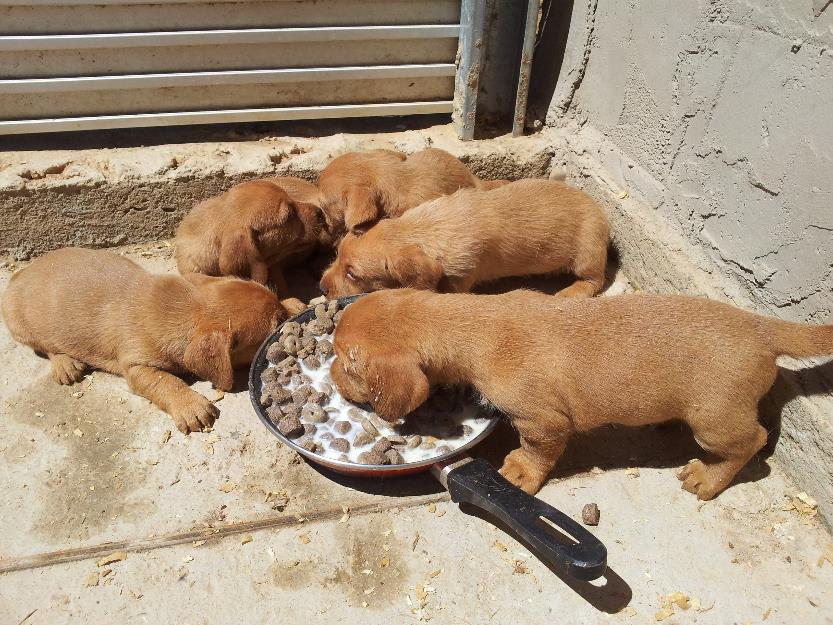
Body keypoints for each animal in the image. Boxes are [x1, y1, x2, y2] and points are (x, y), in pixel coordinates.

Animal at [3, 246, 288, 432]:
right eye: (274, 326)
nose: (286, 316)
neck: (184, 308)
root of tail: (19, 274)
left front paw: (292, 303)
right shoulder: (136, 366)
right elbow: (166, 382)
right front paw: (191, 406)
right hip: (19, 325)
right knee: (45, 347)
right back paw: (65, 364)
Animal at [318, 179, 604, 298]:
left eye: (352, 274)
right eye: (337, 254)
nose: (320, 288)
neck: (423, 229)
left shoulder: (460, 277)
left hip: (588, 253)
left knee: (595, 280)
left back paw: (571, 292)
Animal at [332, 290, 832, 500]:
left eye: (345, 361)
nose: (332, 377)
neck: (475, 322)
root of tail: (763, 327)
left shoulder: (543, 421)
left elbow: (537, 450)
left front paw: (521, 471)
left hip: (714, 419)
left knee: (752, 442)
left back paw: (708, 479)